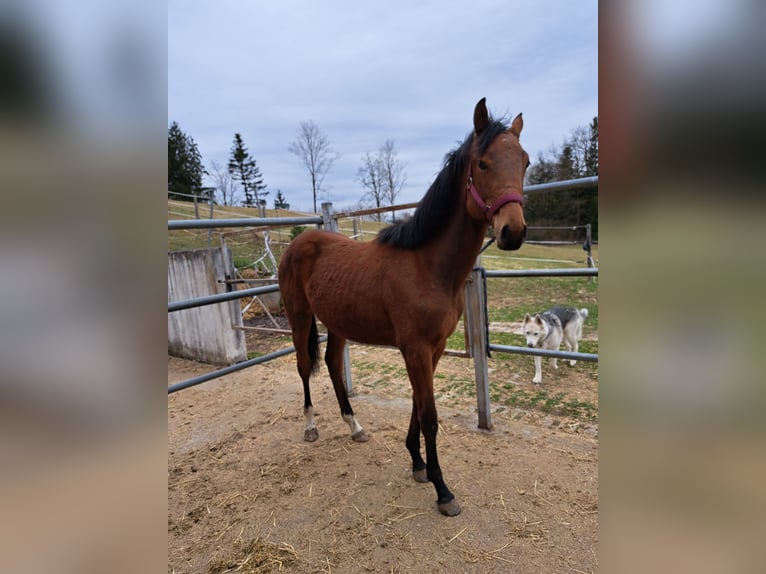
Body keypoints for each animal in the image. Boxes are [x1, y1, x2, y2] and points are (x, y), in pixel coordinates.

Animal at [277, 98, 528, 516]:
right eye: (482, 164)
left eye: (525, 161)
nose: (514, 232)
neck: (427, 265)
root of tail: (299, 241)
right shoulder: (415, 348)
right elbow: (429, 416)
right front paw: (443, 490)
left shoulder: (435, 348)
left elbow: (416, 404)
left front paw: (417, 462)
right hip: (300, 318)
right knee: (302, 366)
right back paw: (311, 427)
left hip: (338, 324)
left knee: (331, 365)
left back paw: (355, 427)